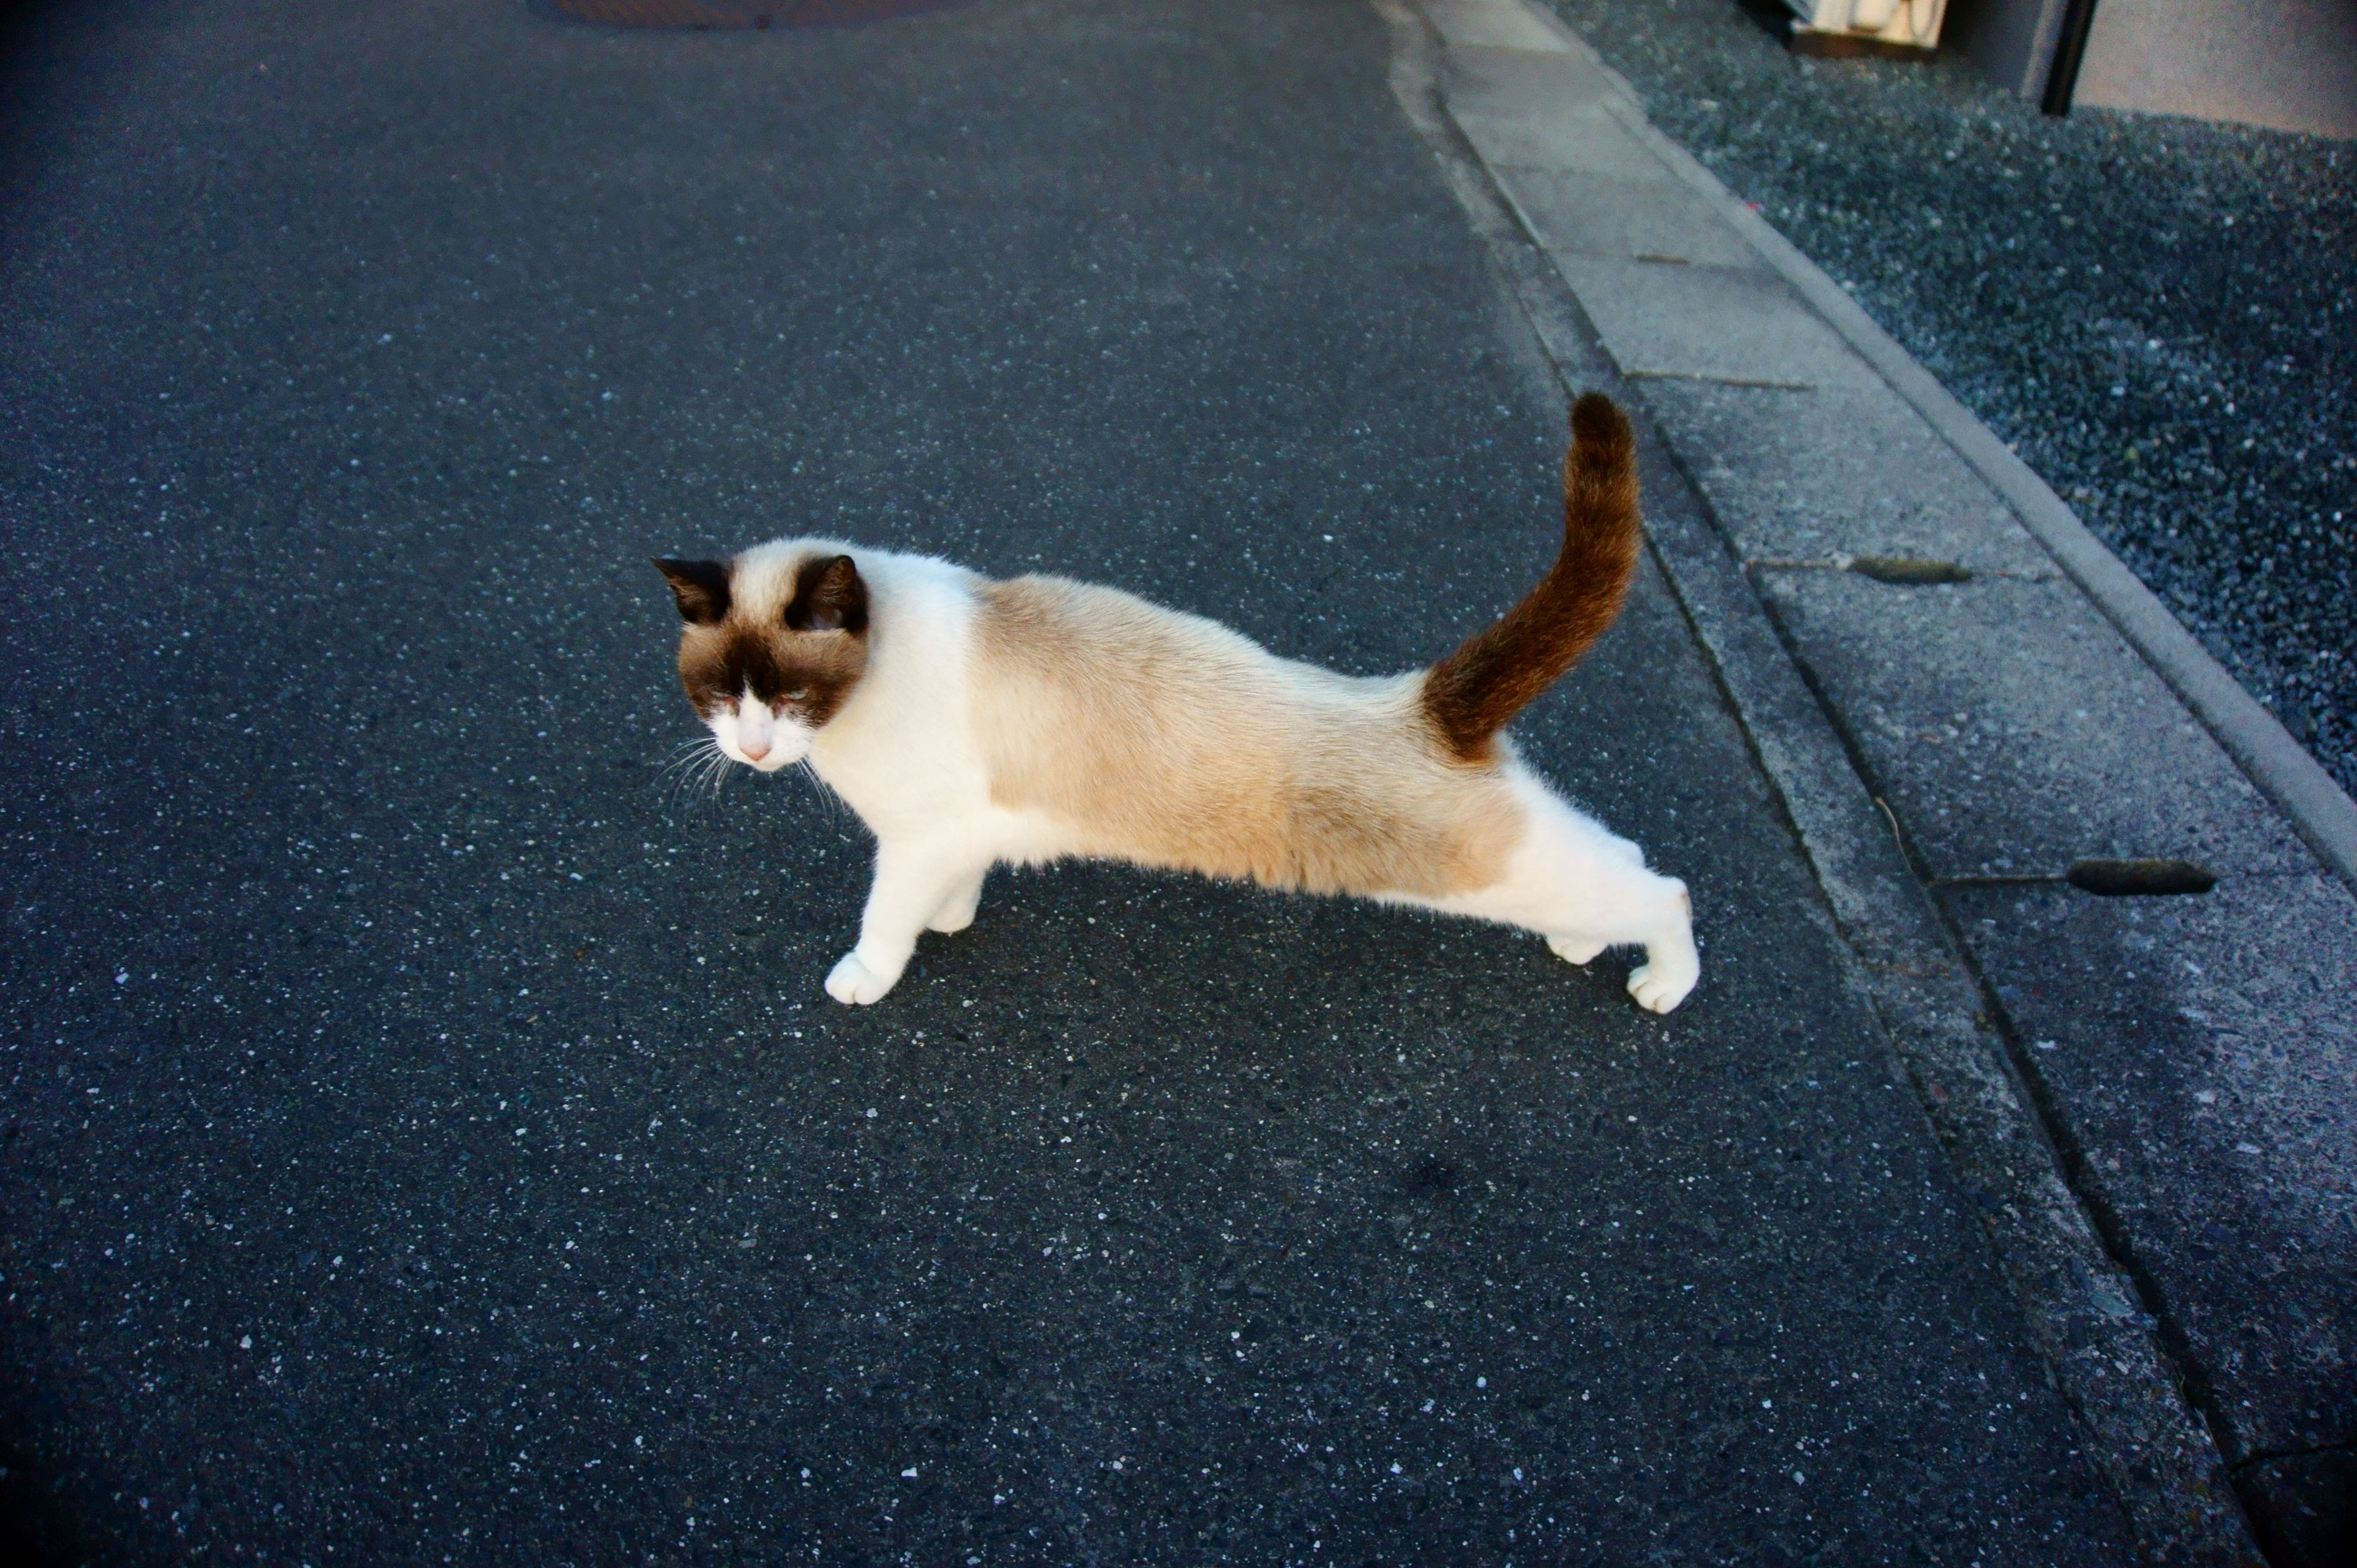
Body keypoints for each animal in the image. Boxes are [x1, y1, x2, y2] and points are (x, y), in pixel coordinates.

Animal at [654, 392, 1698, 1014]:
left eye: (790, 694)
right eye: (718, 695)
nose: (751, 750)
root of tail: (1429, 700)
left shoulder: (913, 839)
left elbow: (884, 920)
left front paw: (867, 975)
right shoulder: (952, 834)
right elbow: (952, 892)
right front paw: (949, 921)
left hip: (1486, 870)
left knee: (1663, 889)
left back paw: (1662, 983)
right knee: (1619, 860)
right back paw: (1579, 946)